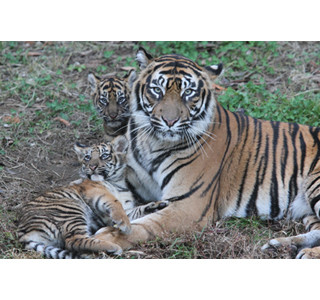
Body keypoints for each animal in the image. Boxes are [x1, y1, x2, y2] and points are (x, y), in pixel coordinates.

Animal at [93, 47, 320, 258]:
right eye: (157, 89)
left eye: (188, 93)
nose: (169, 121)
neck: (155, 142)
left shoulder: (189, 205)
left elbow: (145, 226)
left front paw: (106, 237)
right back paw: (281, 245)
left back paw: (305, 253)